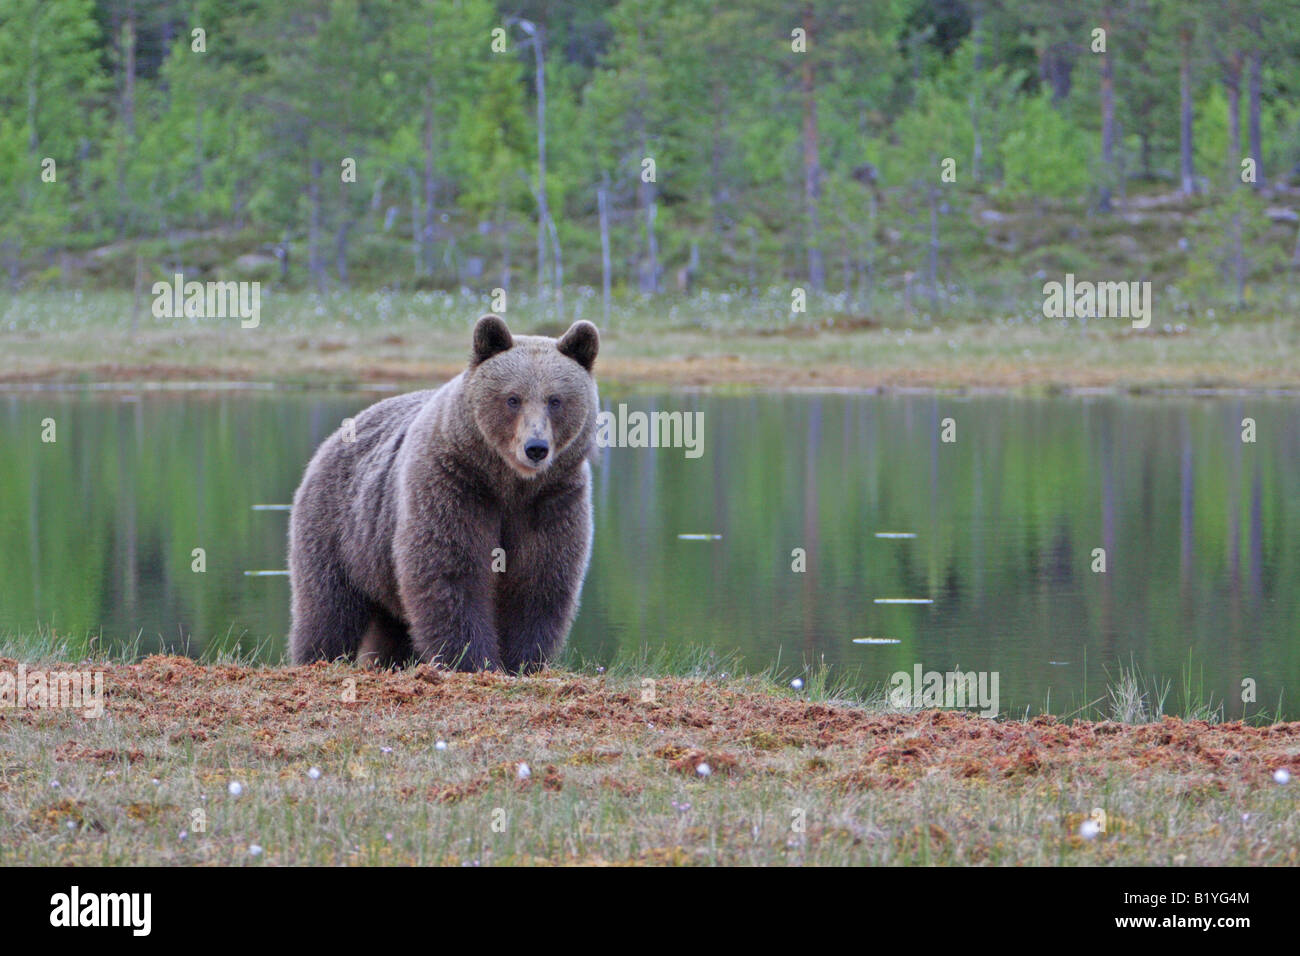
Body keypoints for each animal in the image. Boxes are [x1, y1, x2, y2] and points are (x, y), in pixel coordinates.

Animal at [287, 314, 599, 673]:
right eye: (513, 398)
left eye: (555, 400)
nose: (535, 448)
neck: (508, 483)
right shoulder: (454, 484)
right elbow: (450, 570)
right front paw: (471, 660)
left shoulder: (552, 499)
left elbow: (540, 579)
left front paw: (521, 660)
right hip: (341, 527)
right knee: (328, 606)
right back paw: (316, 656)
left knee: (391, 626)